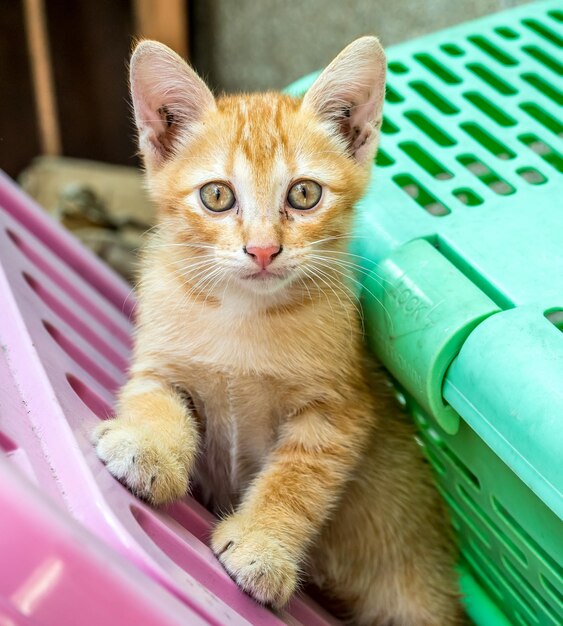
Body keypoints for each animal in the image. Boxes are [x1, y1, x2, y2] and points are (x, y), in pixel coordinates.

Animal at [91, 36, 462, 620]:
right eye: (217, 195)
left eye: (305, 194)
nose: (263, 249)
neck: (241, 314)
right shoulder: (158, 367)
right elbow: (156, 403)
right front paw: (147, 449)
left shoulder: (338, 414)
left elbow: (295, 482)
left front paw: (263, 547)